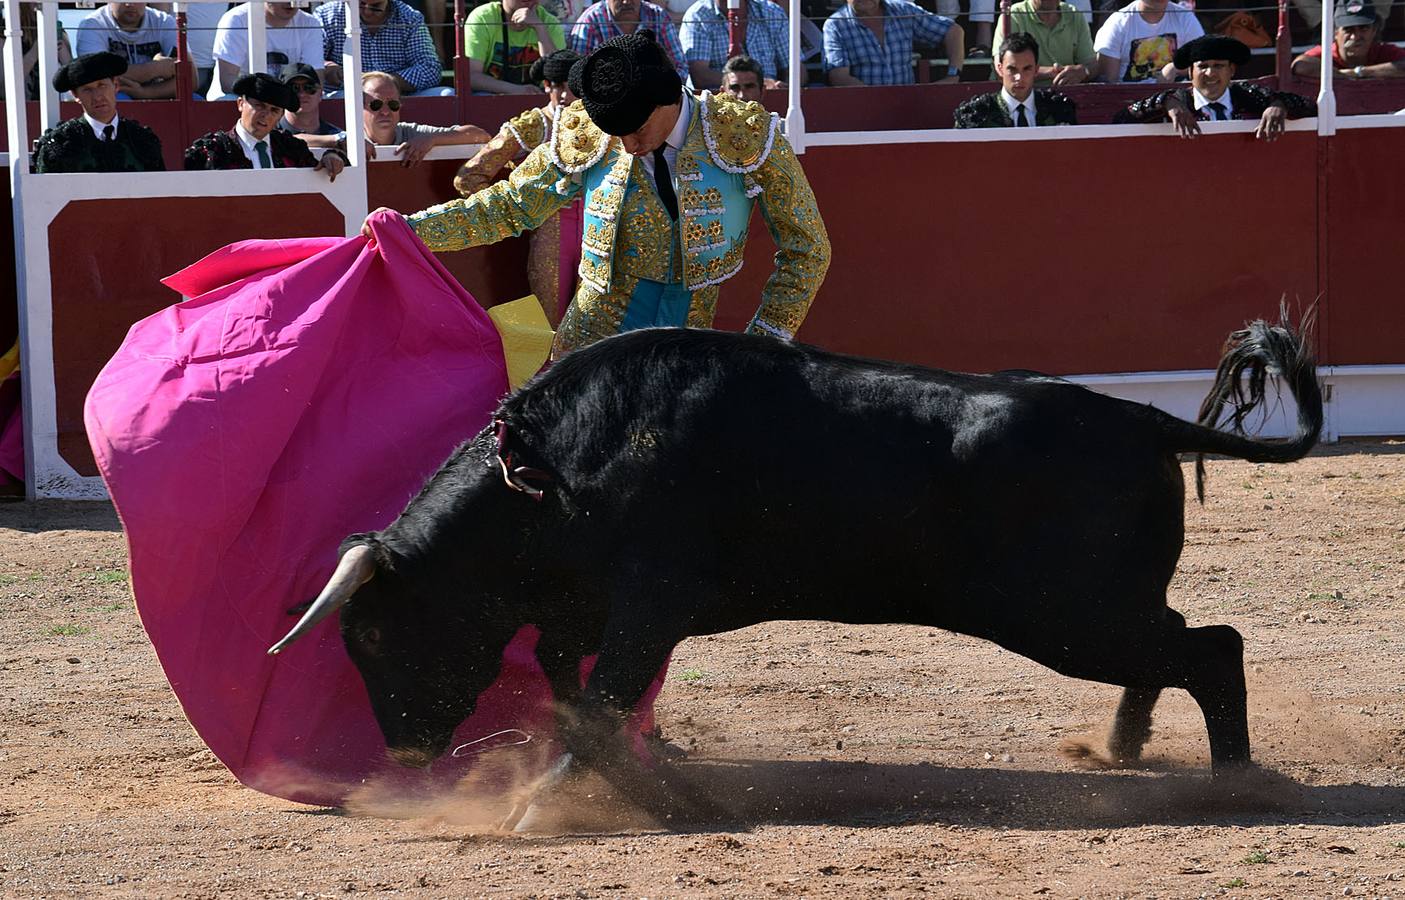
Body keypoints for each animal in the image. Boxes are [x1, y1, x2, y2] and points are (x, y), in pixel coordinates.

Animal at [268, 320, 1320, 825]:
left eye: (374, 631)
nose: (405, 754)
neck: (548, 471)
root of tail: (1141, 419)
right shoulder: (583, 614)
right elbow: (583, 702)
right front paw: (659, 795)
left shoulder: (651, 606)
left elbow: (598, 705)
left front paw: (537, 808)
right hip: (1096, 609)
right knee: (1179, 645)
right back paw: (1122, 748)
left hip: (1062, 615)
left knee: (1211, 648)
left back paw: (1233, 786)